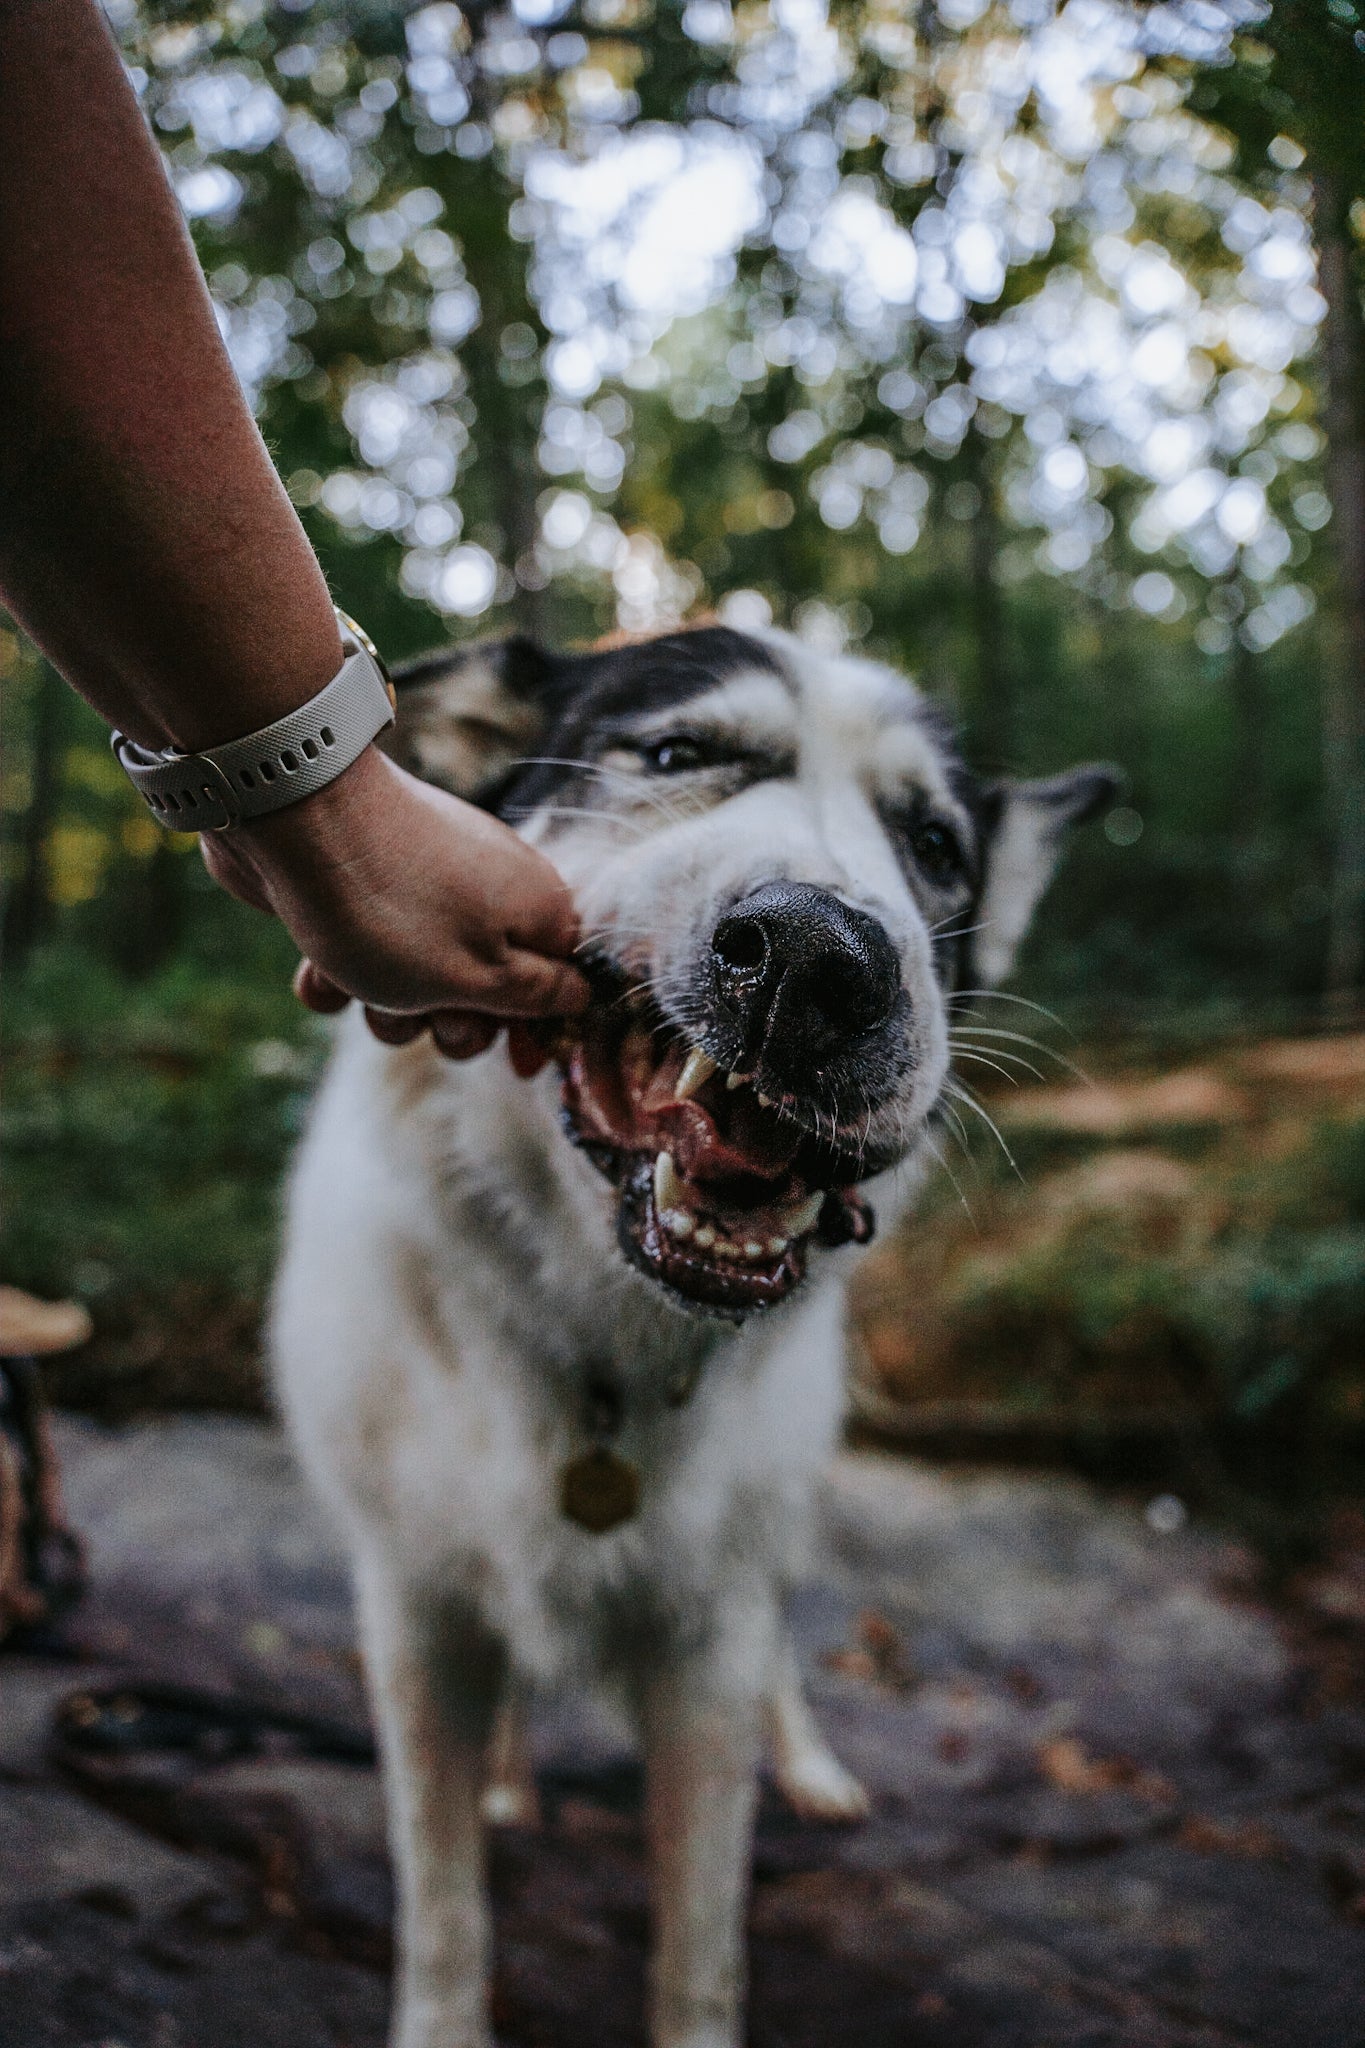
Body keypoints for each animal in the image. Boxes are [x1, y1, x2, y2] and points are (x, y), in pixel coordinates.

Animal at [272, 618, 1113, 2048]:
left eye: (934, 844)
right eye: (677, 755)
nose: (821, 959)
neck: (600, 1337)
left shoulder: (709, 1641)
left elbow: (703, 1931)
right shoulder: (417, 1612)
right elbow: (443, 1901)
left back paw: (815, 1768)